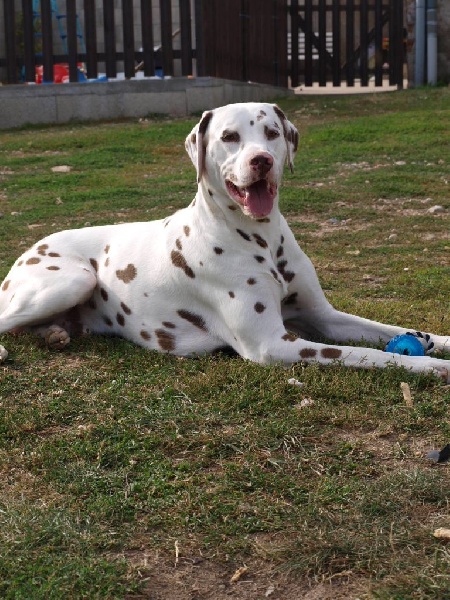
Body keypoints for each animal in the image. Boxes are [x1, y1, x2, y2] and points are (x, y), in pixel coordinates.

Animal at [0, 102, 450, 380]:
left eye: (272, 132)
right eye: (230, 136)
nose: (261, 160)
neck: (262, 238)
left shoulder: (325, 317)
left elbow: (385, 330)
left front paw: (439, 342)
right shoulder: (271, 344)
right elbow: (370, 354)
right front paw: (429, 368)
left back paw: (54, 334)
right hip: (72, 280)